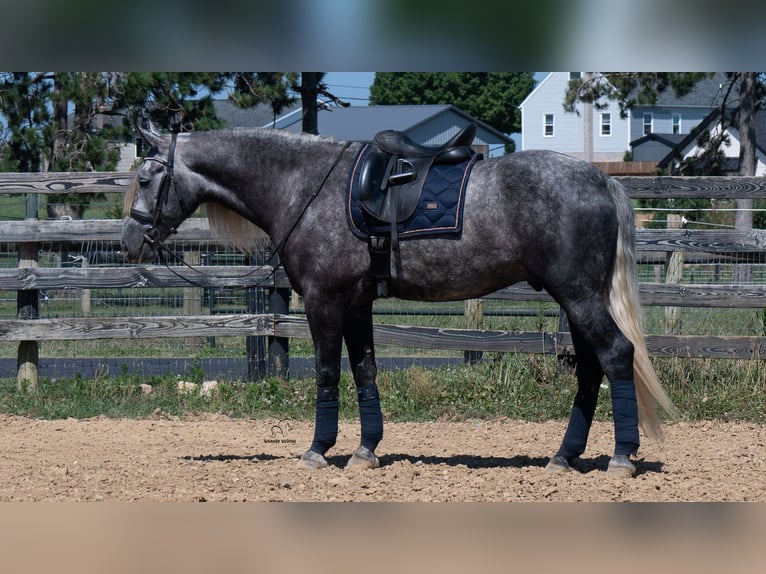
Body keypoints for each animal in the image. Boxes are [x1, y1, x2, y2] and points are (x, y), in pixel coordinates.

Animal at [121, 125, 677, 477]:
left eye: (146, 178)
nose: (129, 243)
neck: (305, 185)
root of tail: (602, 180)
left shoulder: (324, 301)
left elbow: (327, 371)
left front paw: (319, 449)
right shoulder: (357, 303)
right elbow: (364, 369)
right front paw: (366, 450)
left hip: (579, 297)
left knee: (616, 356)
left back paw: (621, 458)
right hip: (577, 301)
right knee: (589, 369)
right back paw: (564, 456)